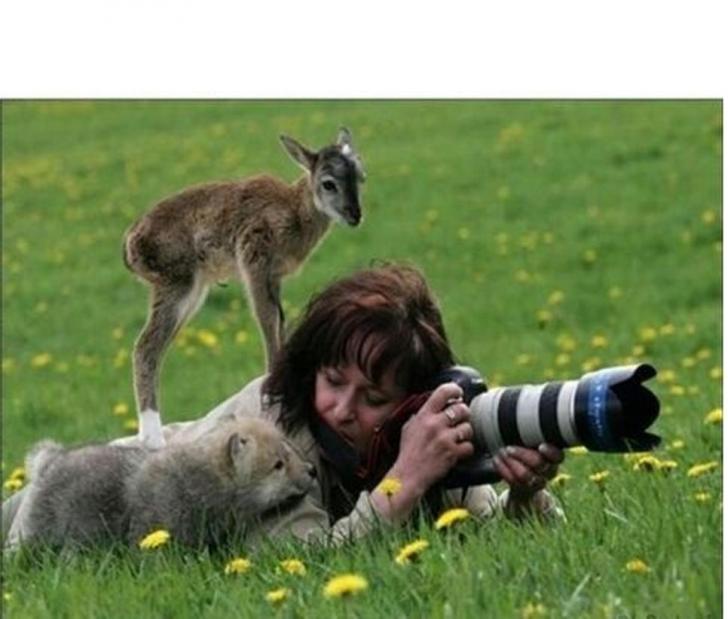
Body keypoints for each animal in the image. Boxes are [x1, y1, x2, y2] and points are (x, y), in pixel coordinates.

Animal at [123, 128, 366, 449]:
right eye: (328, 183)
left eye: (360, 177)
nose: (355, 215)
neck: (294, 212)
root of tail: (130, 244)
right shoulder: (254, 260)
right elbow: (266, 319)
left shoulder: (275, 277)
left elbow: (279, 321)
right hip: (177, 284)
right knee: (146, 347)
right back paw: (153, 439)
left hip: (192, 292)